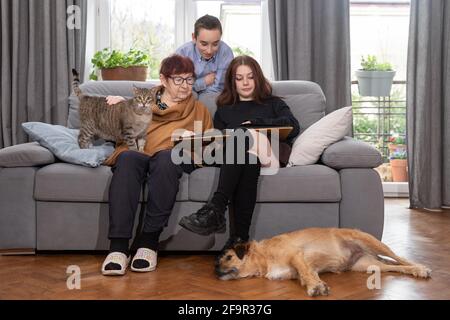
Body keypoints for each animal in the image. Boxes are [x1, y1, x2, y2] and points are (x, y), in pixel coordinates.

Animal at [215, 229, 432, 296]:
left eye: (228, 257)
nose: (216, 271)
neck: (264, 257)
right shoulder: (302, 267)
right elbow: (307, 275)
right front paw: (317, 284)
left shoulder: (296, 256)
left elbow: (306, 273)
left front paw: (315, 288)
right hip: (369, 265)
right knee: (394, 266)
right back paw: (414, 271)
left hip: (370, 241)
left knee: (400, 258)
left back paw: (420, 268)